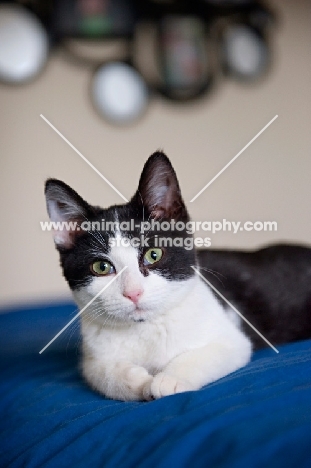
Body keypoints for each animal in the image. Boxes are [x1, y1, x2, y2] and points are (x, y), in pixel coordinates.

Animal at [45, 152, 311, 400]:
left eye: (153, 254)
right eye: (101, 267)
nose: (133, 293)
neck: (144, 329)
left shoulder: (233, 339)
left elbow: (210, 353)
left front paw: (169, 379)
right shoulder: (92, 355)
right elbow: (98, 371)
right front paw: (133, 380)